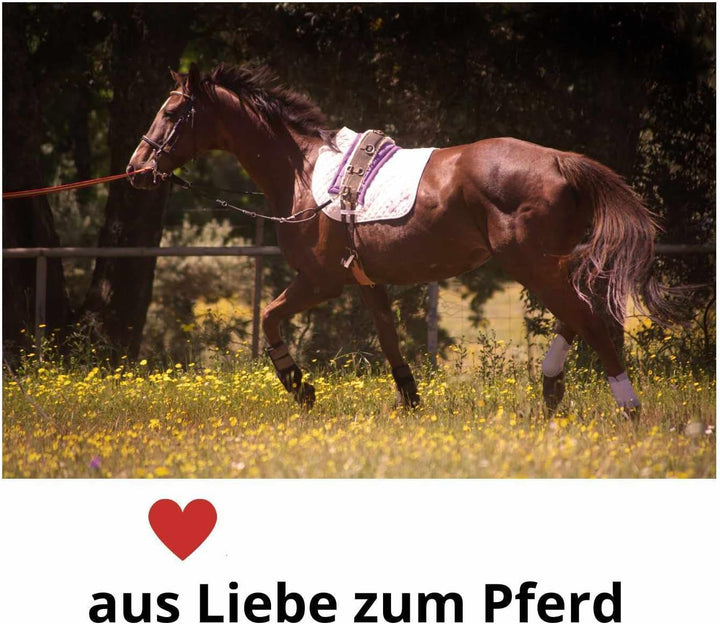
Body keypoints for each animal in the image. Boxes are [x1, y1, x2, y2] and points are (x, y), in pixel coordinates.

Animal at [127, 63, 683, 417]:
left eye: (172, 114)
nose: (136, 169)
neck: (302, 172)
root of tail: (560, 159)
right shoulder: (366, 282)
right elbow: (389, 338)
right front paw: (410, 400)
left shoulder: (321, 281)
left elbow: (268, 317)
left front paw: (300, 387)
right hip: (551, 265)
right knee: (582, 312)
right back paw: (551, 386)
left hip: (532, 265)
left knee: (589, 318)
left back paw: (627, 408)